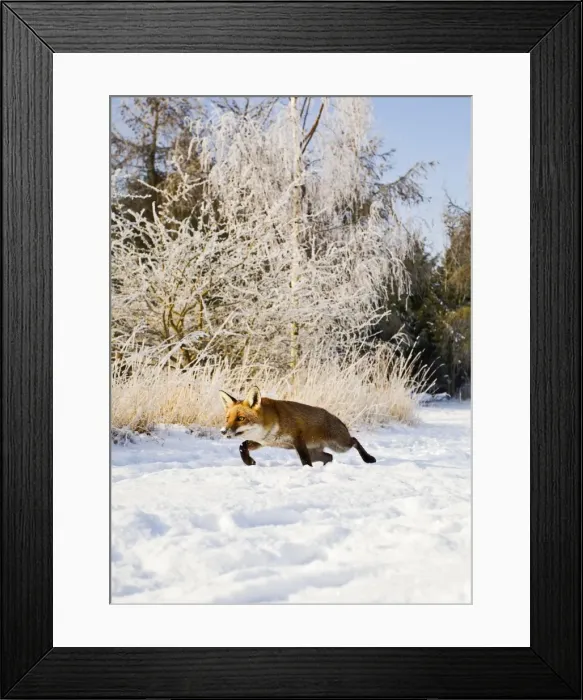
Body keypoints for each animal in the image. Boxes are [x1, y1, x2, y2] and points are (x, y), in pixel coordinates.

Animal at [219, 386, 376, 467]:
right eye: (227, 419)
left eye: (241, 418)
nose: (223, 431)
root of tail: (335, 417)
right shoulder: (263, 442)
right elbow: (242, 446)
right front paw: (249, 462)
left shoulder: (297, 440)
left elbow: (305, 461)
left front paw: (307, 471)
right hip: (318, 452)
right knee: (329, 457)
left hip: (340, 445)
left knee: (354, 441)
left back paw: (368, 458)